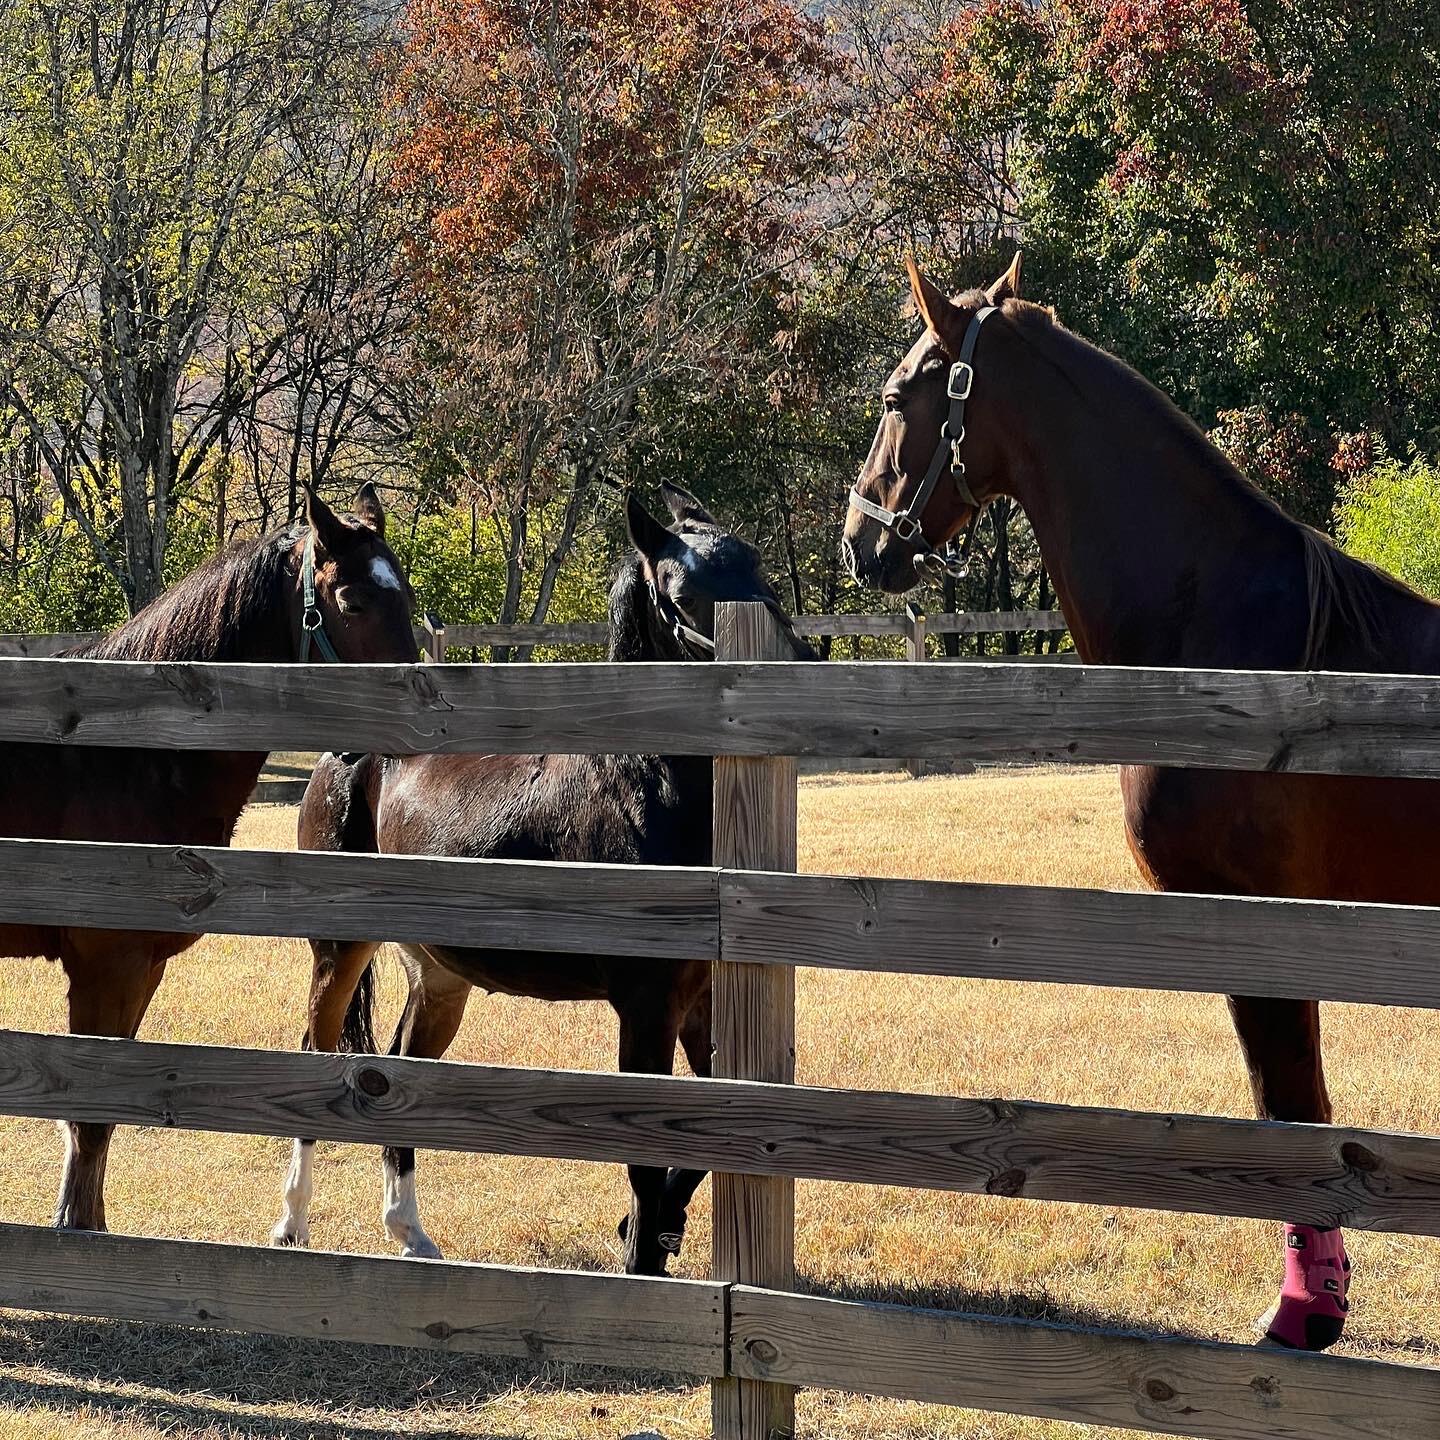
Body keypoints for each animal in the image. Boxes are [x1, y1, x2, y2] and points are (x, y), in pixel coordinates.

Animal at [0, 484, 417, 1235]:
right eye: (352, 602)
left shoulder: (140, 970)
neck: (128, 755)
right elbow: (88, 1118)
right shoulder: (106, 965)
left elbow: (99, 1120)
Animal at [270, 483, 812, 1276]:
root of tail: (341, 757)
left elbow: (705, 1131)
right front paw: (641, 1253)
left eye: (759, 567)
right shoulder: (646, 1006)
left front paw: (652, 1230)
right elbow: (647, 1151)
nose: (798, 664)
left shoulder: (703, 1000)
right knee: (315, 1051)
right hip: (340, 951)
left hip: (440, 976)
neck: (643, 787)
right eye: (684, 596)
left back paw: (410, 1232)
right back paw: (291, 1224)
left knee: (397, 1069)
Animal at [840, 254, 1440, 1352]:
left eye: (900, 397)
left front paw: (1306, 1311)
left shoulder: (1260, 920)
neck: (1230, 642)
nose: (861, 541)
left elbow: (1292, 1104)